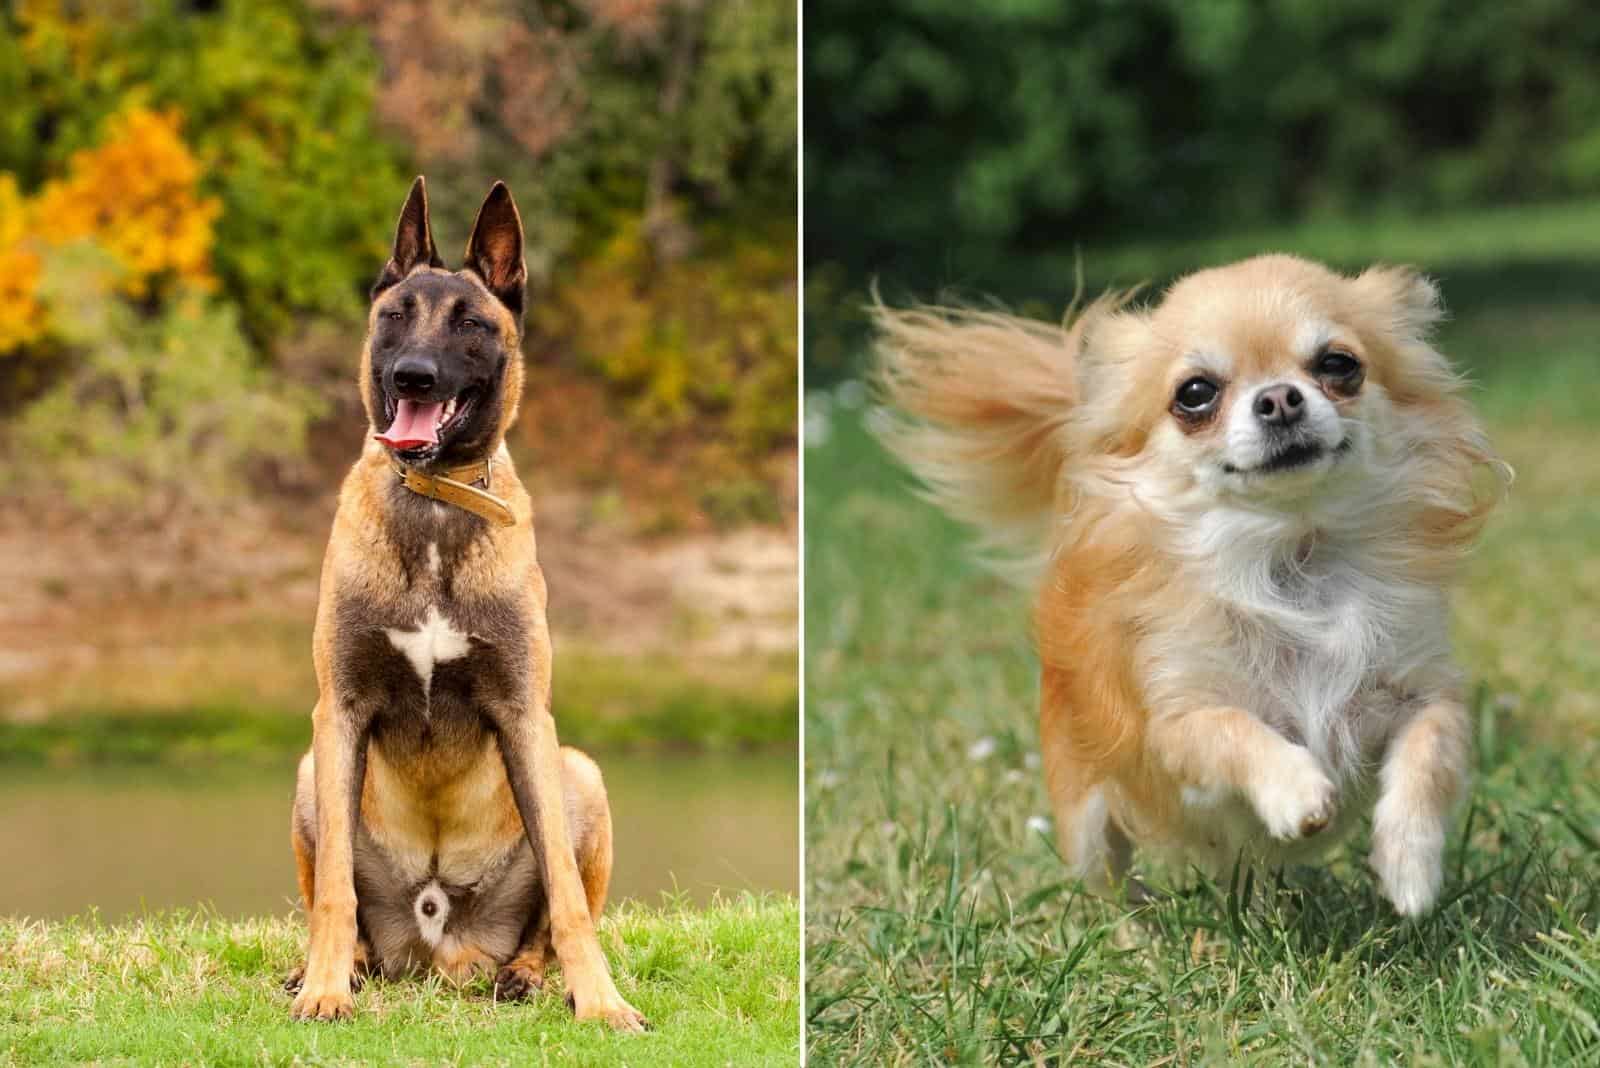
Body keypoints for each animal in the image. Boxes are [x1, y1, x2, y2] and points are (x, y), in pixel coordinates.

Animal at [284, 179, 646, 1029]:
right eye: (394, 315)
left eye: (471, 323)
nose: (413, 376)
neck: (436, 507)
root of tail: (437, 947)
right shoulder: (337, 711)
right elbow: (335, 891)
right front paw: (323, 989)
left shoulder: (524, 713)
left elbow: (568, 898)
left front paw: (602, 1002)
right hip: (311, 770)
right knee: (343, 902)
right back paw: (343, 968)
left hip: (580, 772)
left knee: (547, 913)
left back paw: (528, 974)